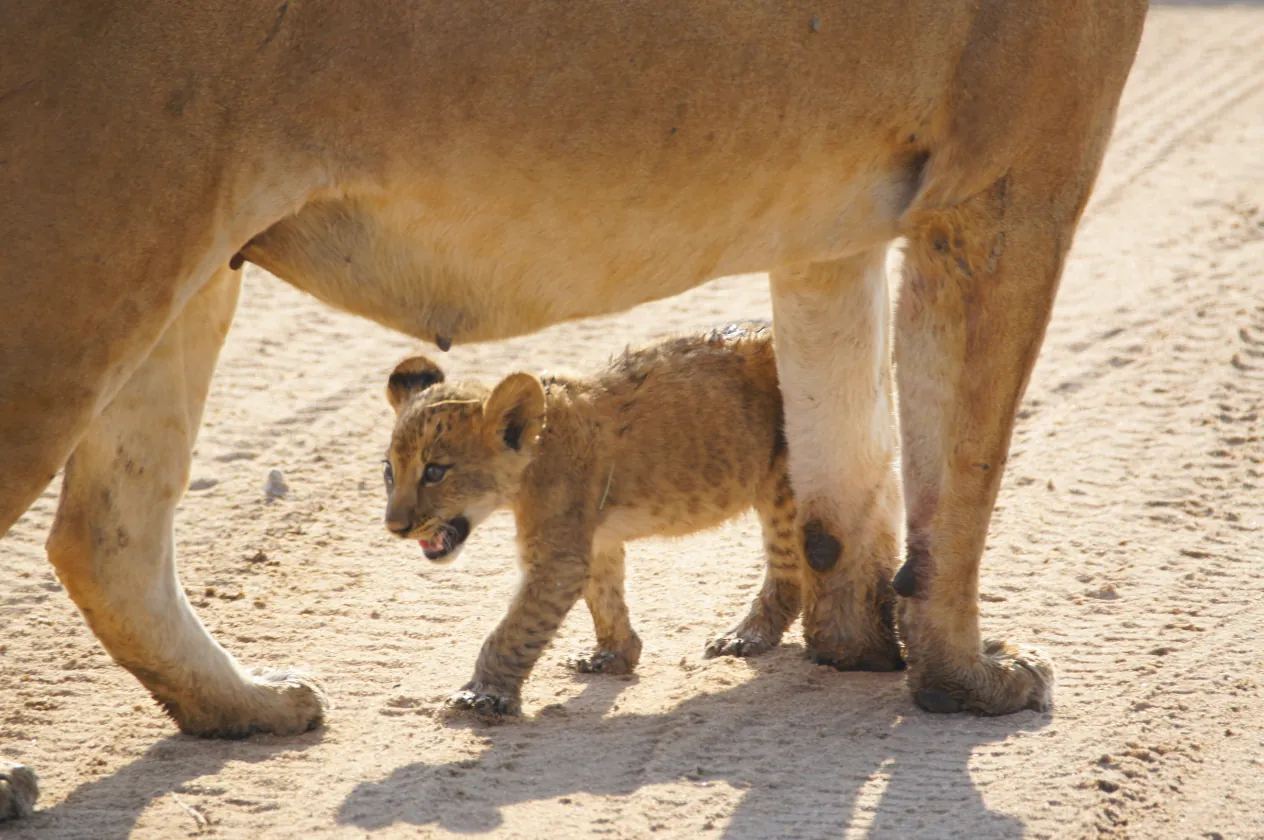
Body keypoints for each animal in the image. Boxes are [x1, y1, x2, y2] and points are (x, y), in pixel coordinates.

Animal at [382, 322, 809, 715]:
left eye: (434, 471)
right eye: (389, 471)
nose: (394, 527)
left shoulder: (557, 557)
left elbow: (516, 628)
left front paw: (483, 694)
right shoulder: (595, 537)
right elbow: (604, 596)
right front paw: (613, 656)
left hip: (784, 483)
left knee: (789, 570)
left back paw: (747, 637)